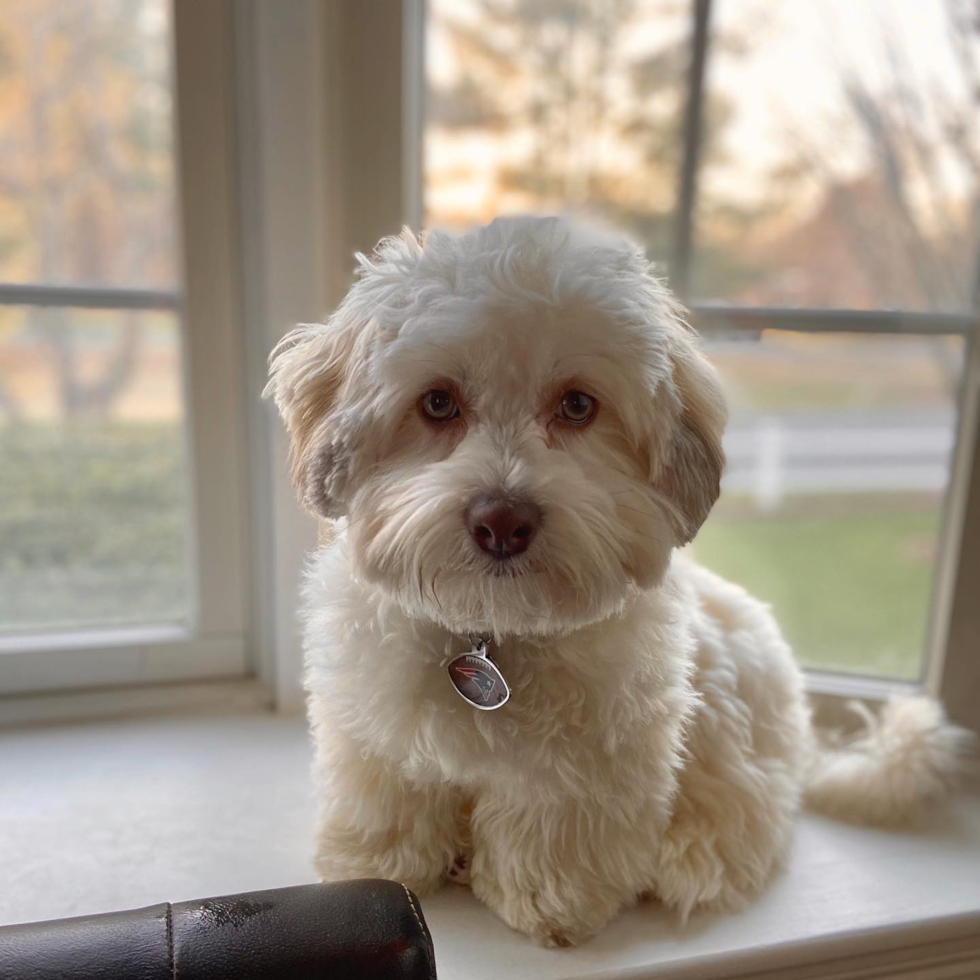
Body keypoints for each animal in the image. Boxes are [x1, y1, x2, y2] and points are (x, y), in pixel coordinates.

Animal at [264, 218, 960, 944]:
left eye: (577, 405)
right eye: (437, 402)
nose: (502, 520)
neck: (495, 629)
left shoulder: (589, 763)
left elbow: (554, 831)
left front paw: (549, 902)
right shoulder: (377, 739)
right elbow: (388, 797)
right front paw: (381, 863)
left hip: (728, 704)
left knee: (750, 807)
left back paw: (694, 853)